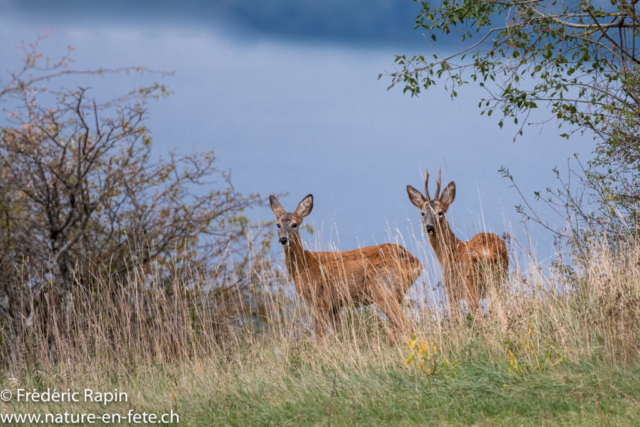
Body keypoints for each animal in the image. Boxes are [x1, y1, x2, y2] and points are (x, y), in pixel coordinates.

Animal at [268, 195, 422, 342]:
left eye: (294, 224)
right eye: (278, 224)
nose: (283, 239)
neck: (303, 266)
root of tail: (416, 262)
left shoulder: (320, 298)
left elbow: (319, 337)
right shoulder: (334, 305)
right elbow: (338, 332)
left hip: (382, 288)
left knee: (405, 326)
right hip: (397, 293)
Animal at [408, 169, 508, 316]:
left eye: (440, 212)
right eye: (422, 213)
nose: (429, 227)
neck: (449, 253)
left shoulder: (451, 288)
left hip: (470, 283)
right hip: (499, 279)